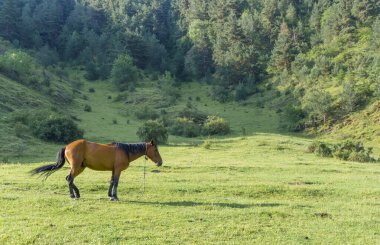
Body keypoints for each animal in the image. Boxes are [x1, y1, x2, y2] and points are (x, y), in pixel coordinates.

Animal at [31, 139, 163, 200]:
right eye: (155, 149)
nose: (160, 162)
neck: (125, 150)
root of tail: (67, 146)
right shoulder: (118, 169)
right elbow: (116, 182)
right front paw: (115, 196)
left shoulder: (113, 169)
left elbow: (111, 182)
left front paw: (110, 195)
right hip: (76, 167)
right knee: (70, 179)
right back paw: (73, 195)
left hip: (80, 167)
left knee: (69, 178)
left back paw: (77, 193)